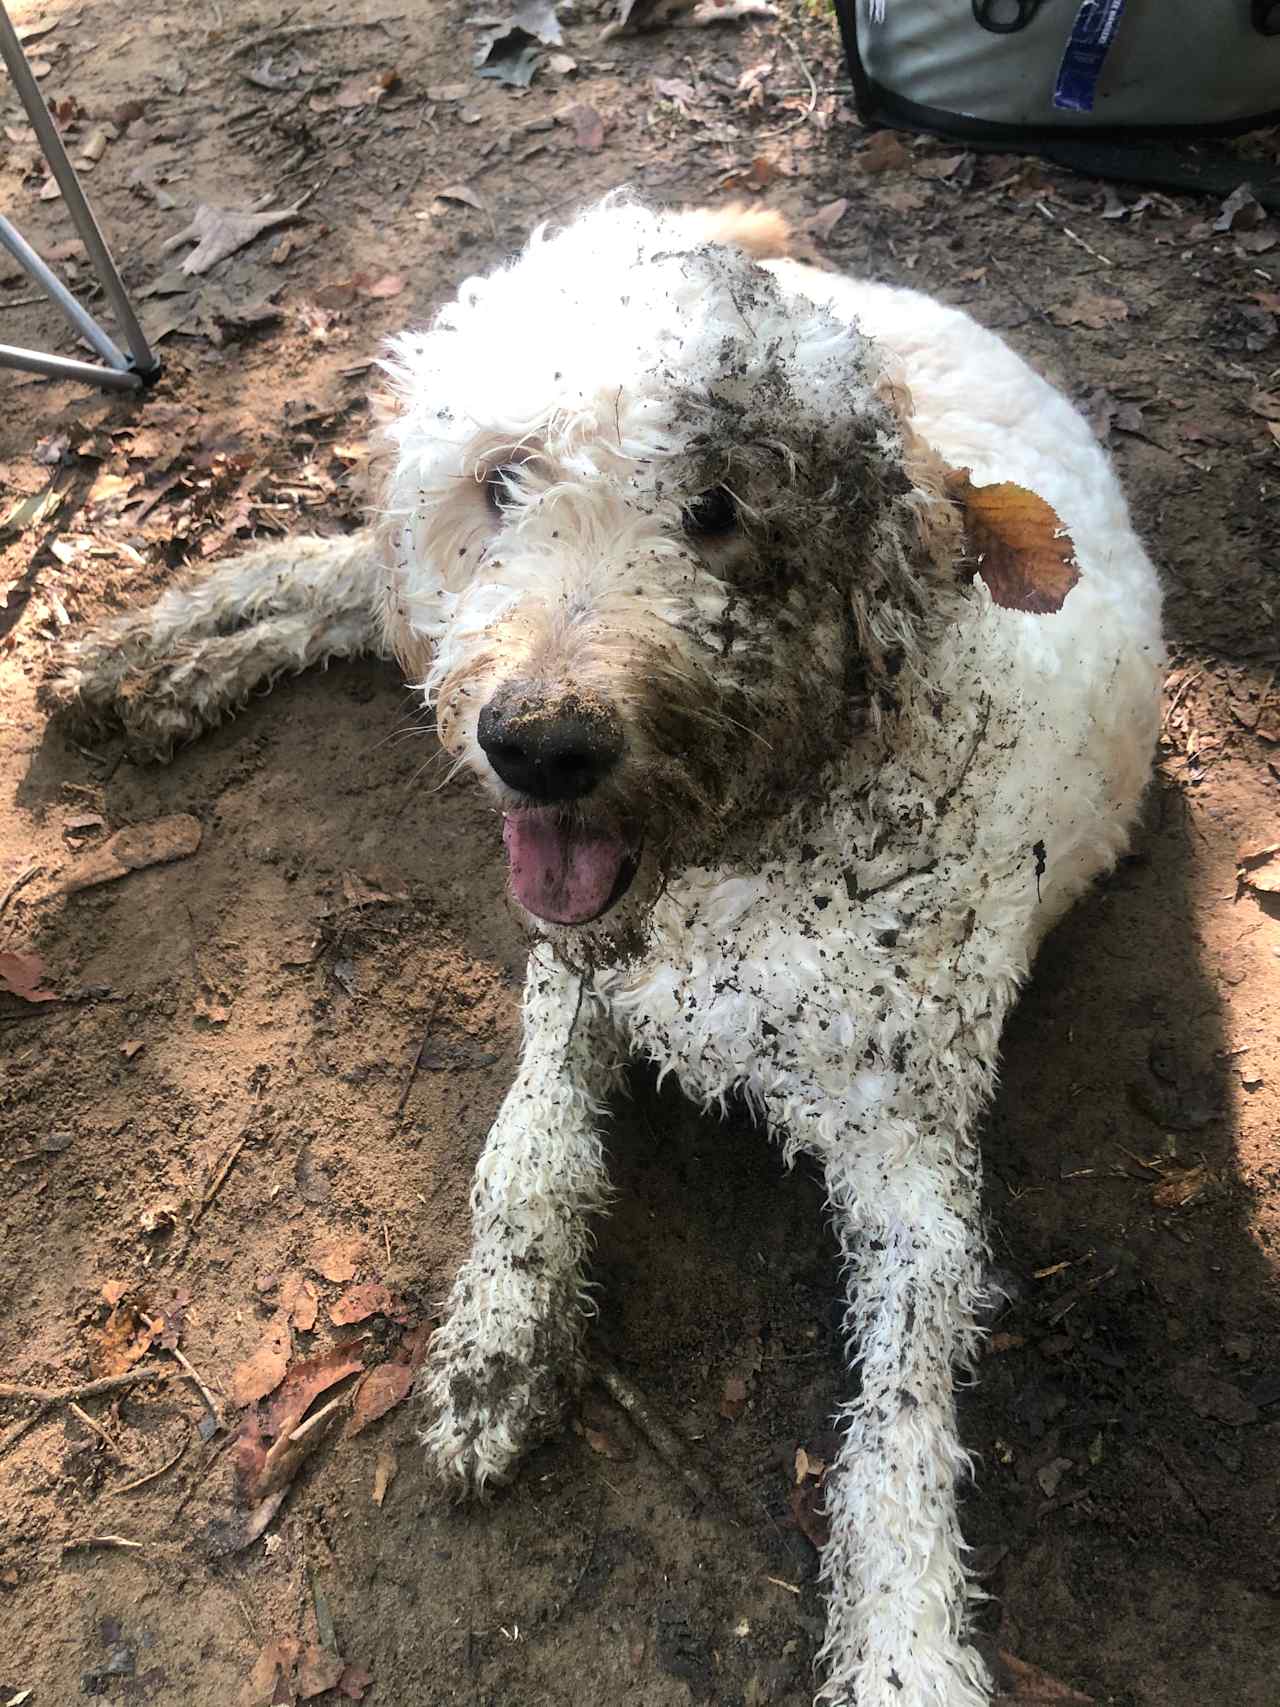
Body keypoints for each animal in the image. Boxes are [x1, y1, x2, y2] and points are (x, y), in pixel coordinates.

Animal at [50, 203, 1167, 1707]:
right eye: (506, 482)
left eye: (720, 510)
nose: (538, 746)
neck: (759, 843)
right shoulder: (577, 974)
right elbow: (522, 1154)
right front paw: (495, 1346)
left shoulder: (914, 1174)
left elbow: (899, 1425)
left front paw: (905, 1645)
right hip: (421, 606)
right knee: (348, 574)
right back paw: (142, 662)